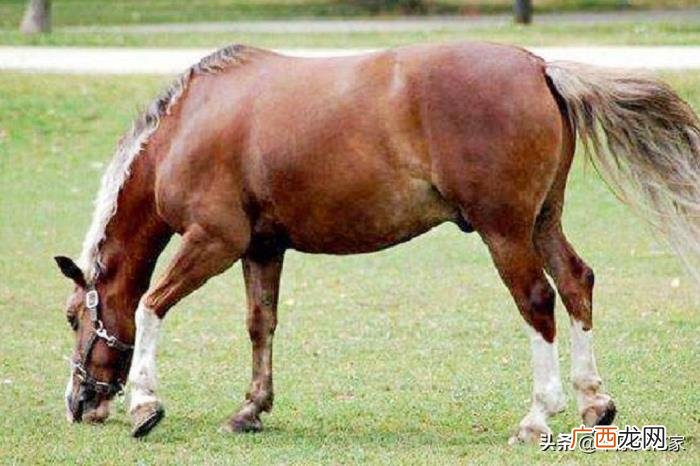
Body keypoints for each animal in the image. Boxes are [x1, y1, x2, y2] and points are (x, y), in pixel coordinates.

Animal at [55, 42, 700, 441]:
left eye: (72, 317)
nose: (79, 403)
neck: (187, 128)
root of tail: (540, 66)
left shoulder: (213, 241)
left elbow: (149, 306)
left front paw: (145, 405)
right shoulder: (261, 248)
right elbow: (261, 325)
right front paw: (250, 410)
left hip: (505, 230)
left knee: (538, 302)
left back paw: (539, 415)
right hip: (543, 221)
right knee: (575, 282)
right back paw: (594, 400)